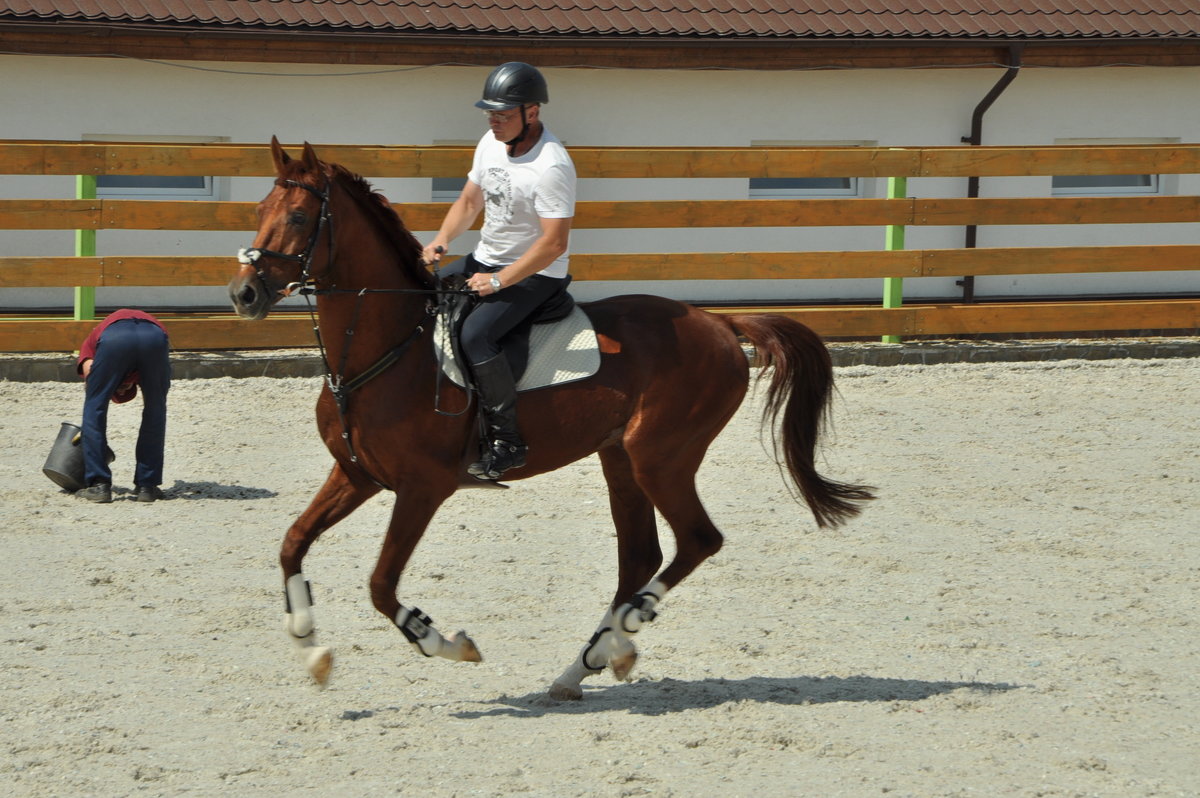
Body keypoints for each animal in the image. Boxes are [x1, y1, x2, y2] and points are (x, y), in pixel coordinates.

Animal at [226, 139, 873, 700]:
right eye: (260, 209)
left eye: (301, 216)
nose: (244, 294)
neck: (386, 347)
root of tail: (717, 321)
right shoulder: (356, 474)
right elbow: (292, 544)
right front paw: (311, 648)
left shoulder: (423, 487)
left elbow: (382, 585)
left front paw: (449, 644)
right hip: (620, 459)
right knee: (640, 556)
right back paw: (588, 662)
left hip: (660, 457)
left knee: (696, 540)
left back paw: (623, 631)